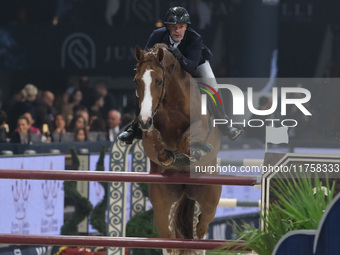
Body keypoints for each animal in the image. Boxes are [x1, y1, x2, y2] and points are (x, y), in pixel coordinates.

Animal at [134, 44, 222, 255]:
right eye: (136, 81)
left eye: (159, 81)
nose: (144, 120)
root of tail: (185, 188)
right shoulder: (149, 131)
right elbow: (154, 136)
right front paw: (167, 156)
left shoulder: (200, 125)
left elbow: (185, 140)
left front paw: (196, 151)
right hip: (162, 202)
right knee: (168, 238)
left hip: (210, 196)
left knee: (201, 229)